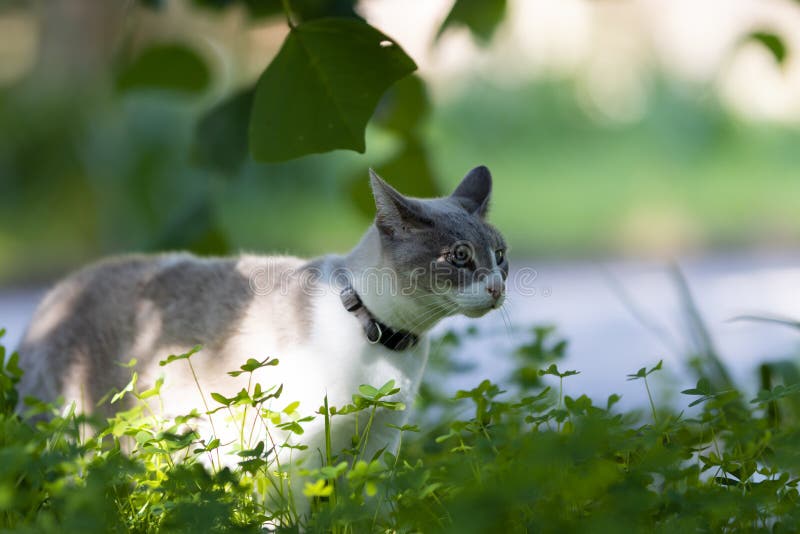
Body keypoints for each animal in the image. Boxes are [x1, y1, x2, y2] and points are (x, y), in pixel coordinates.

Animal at [17, 166, 506, 474]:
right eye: (459, 257)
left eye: (499, 255)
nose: (498, 287)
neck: (385, 339)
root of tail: (54, 294)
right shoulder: (294, 449)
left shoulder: (382, 440)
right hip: (80, 430)